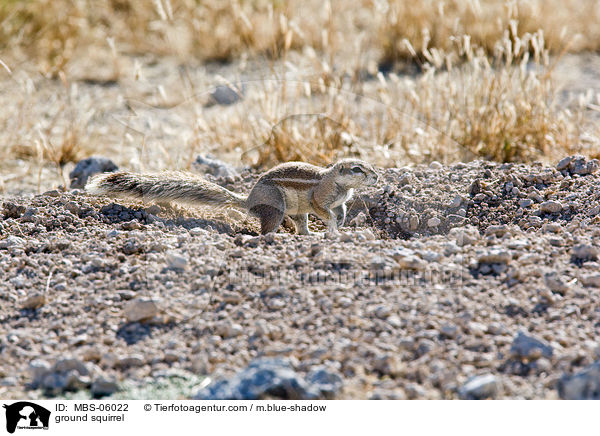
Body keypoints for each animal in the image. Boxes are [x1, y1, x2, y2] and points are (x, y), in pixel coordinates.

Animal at [86, 158, 378, 235]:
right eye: (357, 169)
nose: (376, 176)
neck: (336, 182)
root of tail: (247, 200)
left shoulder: (340, 201)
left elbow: (340, 210)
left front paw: (340, 223)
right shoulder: (320, 198)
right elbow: (324, 210)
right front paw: (333, 225)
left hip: (296, 212)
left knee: (301, 226)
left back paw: (308, 236)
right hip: (277, 207)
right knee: (267, 229)